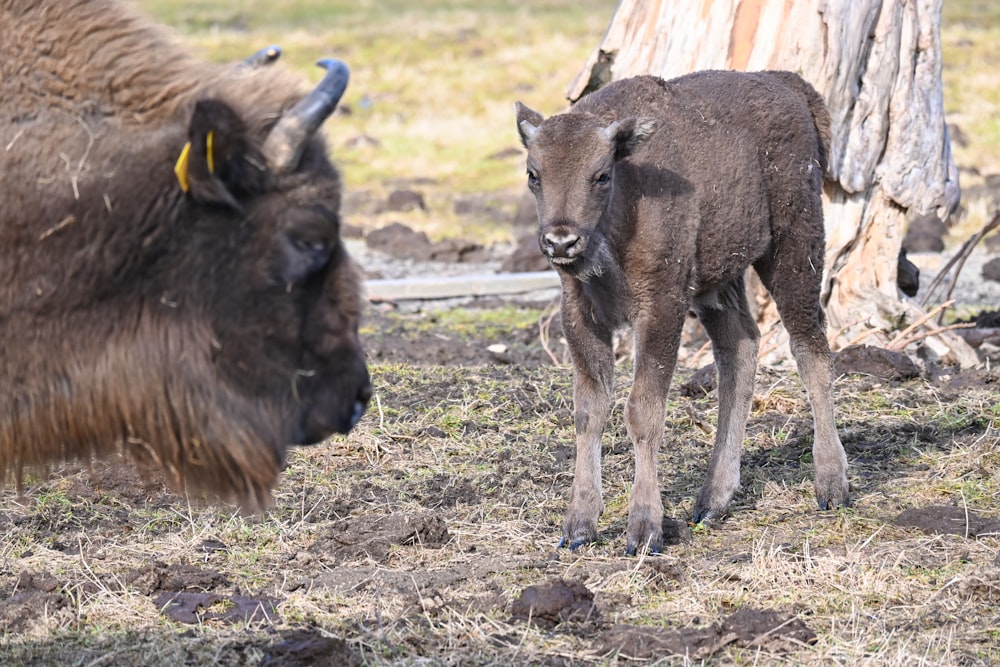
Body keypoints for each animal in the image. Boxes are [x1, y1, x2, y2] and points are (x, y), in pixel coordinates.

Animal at [516, 70, 852, 556]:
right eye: (533, 174)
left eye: (601, 175)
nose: (561, 241)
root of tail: (787, 83)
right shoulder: (581, 316)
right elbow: (589, 411)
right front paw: (579, 526)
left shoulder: (661, 309)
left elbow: (642, 410)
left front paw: (644, 530)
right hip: (718, 284)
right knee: (740, 351)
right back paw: (713, 500)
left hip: (795, 248)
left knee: (811, 349)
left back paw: (830, 485)